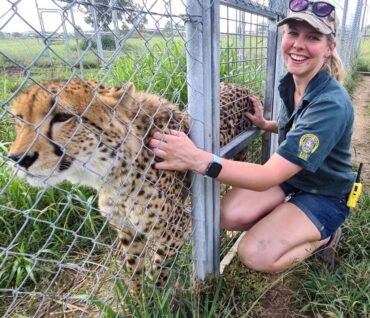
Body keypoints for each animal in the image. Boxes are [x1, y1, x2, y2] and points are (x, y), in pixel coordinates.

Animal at [6, 79, 254, 290]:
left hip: (239, 154)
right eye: (19, 119)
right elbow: (134, 268)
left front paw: (154, 300)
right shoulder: (126, 228)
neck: (113, 174)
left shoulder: (175, 226)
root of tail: (237, 85)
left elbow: (158, 270)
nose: (18, 158)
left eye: (62, 117)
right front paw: (138, 297)